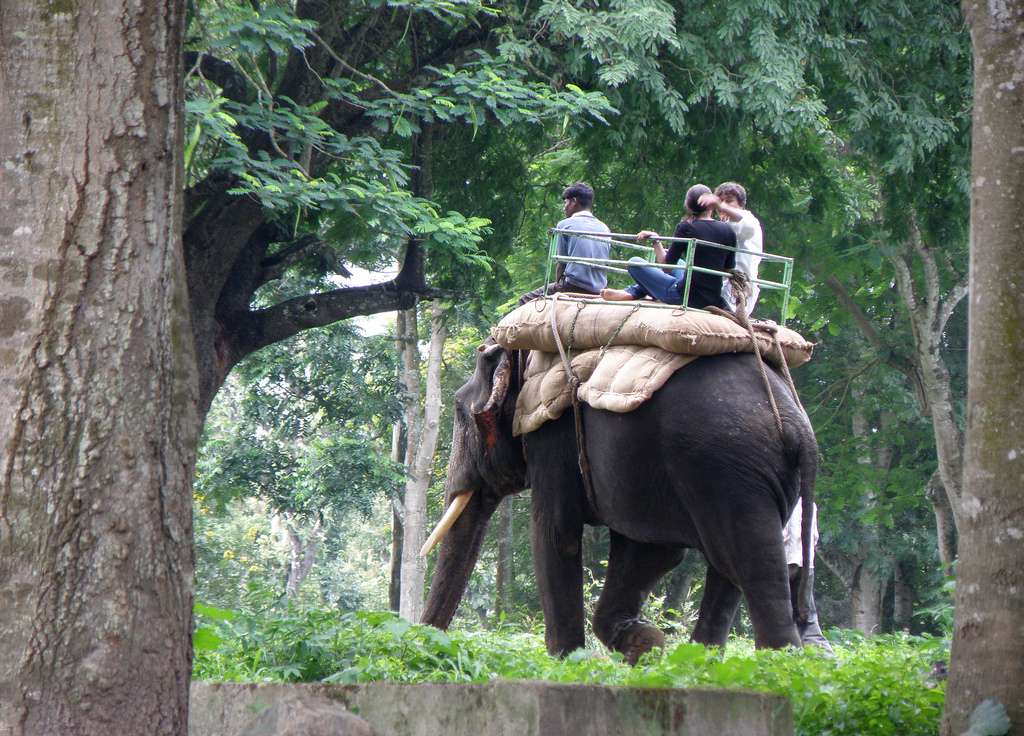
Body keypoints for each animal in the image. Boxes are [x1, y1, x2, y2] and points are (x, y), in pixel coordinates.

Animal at [421, 341, 817, 664]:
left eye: (459, 411)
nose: (428, 645)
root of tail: (797, 425)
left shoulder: (552, 436)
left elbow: (556, 536)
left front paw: (569, 663)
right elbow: (650, 552)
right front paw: (647, 646)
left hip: (726, 471)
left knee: (750, 568)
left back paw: (778, 666)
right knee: (731, 572)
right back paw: (700, 664)